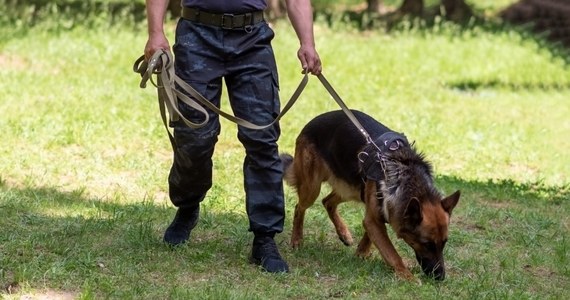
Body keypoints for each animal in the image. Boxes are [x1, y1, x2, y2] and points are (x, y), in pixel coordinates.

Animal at [282, 110, 460, 282]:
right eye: (427, 244)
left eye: (444, 243)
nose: (440, 277)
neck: (405, 175)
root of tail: (311, 123)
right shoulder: (374, 219)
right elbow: (391, 252)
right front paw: (407, 276)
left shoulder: (377, 214)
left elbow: (370, 235)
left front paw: (362, 252)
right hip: (312, 189)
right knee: (299, 207)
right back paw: (297, 239)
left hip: (351, 189)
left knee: (327, 202)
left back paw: (344, 233)